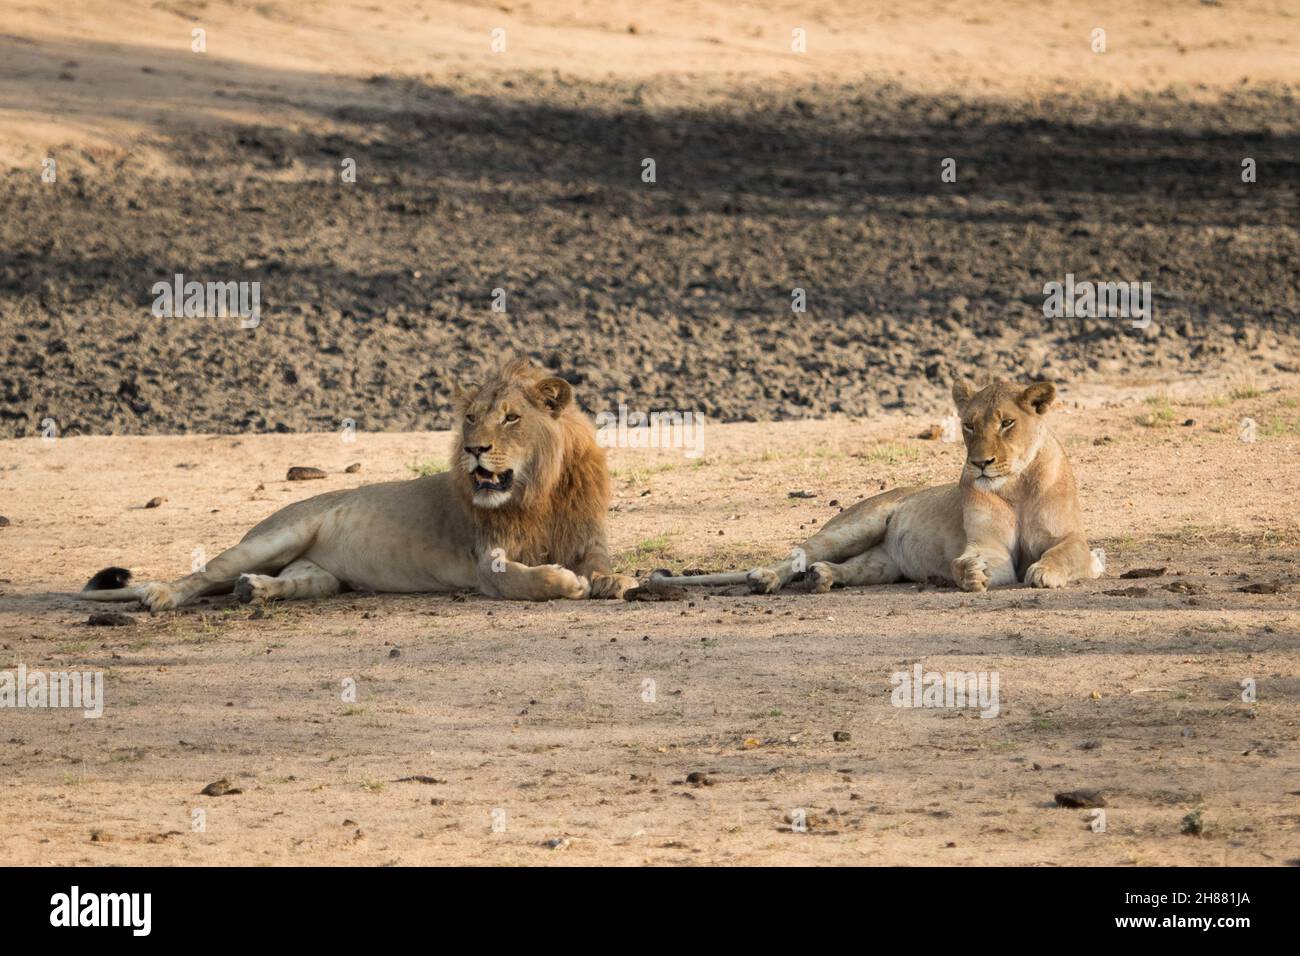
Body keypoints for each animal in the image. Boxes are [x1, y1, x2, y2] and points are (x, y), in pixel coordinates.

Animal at [78, 356, 637, 608]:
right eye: (471, 418)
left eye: (512, 418)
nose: (473, 448)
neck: (539, 491)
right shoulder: (488, 562)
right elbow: (528, 578)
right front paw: (565, 582)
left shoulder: (588, 535)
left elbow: (603, 562)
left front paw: (609, 581)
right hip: (278, 534)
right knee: (203, 574)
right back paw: (163, 595)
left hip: (321, 575)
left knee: (290, 582)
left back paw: (255, 589)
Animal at [647, 377, 1097, 595]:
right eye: (969, 425)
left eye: (1007, 423)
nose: (980, 463)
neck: (1015, 484)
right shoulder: (989, 547)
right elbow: (982, 560)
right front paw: (970, 572)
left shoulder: (1073, 538)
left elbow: (1067, 554)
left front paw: (1044, 572)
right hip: (856, 524)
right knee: (799, 554)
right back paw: (767, 579)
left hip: (884, 562)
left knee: (851, 568)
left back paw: (822, 578)